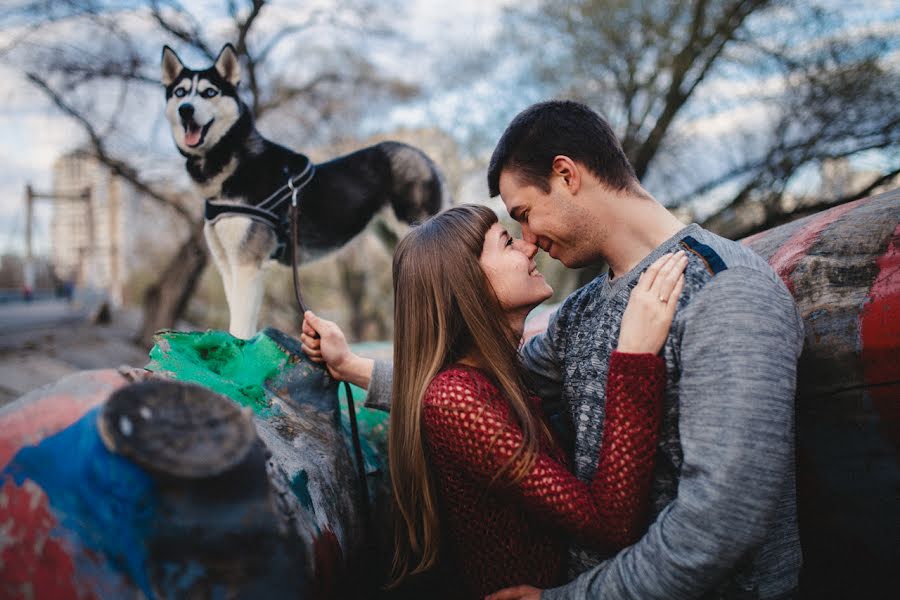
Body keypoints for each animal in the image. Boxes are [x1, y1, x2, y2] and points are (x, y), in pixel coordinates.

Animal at [161, 43, 446, 338]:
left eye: (209, 92)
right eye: (180, 92)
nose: (185, 109)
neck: (233, 160)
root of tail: (425, 157)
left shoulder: (248, 264)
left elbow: (240, 329)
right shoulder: (228, 266)